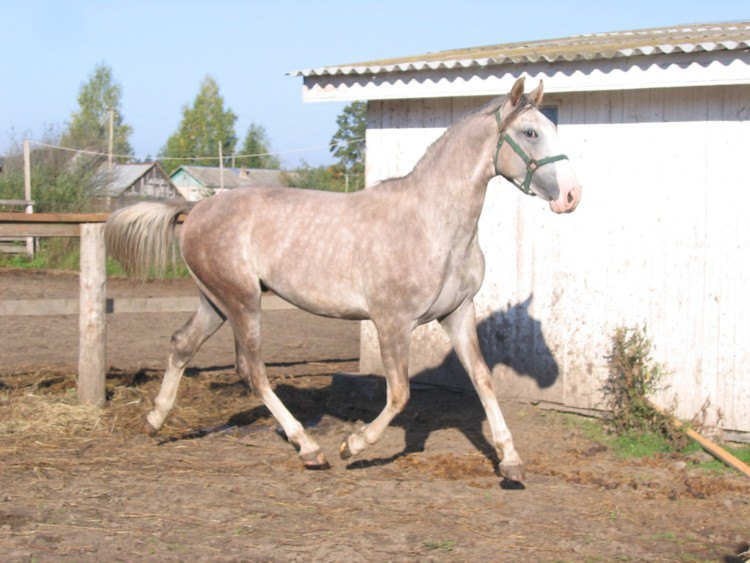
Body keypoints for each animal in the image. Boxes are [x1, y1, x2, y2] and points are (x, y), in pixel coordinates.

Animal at [106, 77, 584, 482]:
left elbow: (483, 380)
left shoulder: (457, 314)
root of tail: (196, 210)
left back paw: (154, 422)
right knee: (252, 370)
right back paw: (309, 448)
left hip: (216, 301)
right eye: (531, 133)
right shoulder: (392, 322)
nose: (571, 196)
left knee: (182, 345)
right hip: (243, 302)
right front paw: (352, 445)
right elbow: (399, 394)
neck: (434, 225)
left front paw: (511, 462)